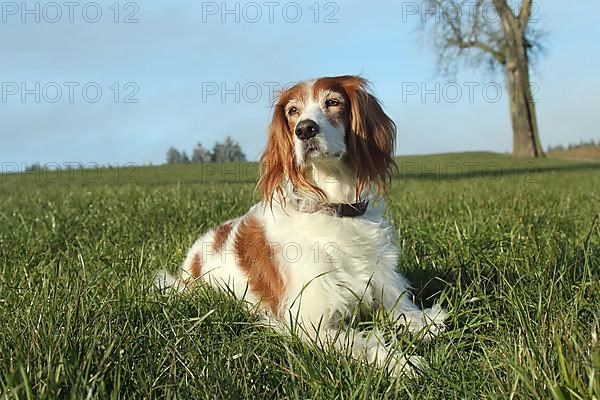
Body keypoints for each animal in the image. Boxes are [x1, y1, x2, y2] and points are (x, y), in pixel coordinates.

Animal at [157, 75, 448, 376]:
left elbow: (405, 310)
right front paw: (402, 363)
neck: (335, 209)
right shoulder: (310, 322)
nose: (305, 129)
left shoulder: (383, 284)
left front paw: (426, 321)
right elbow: (365, 344)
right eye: (293, 111)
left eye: (333, 102)